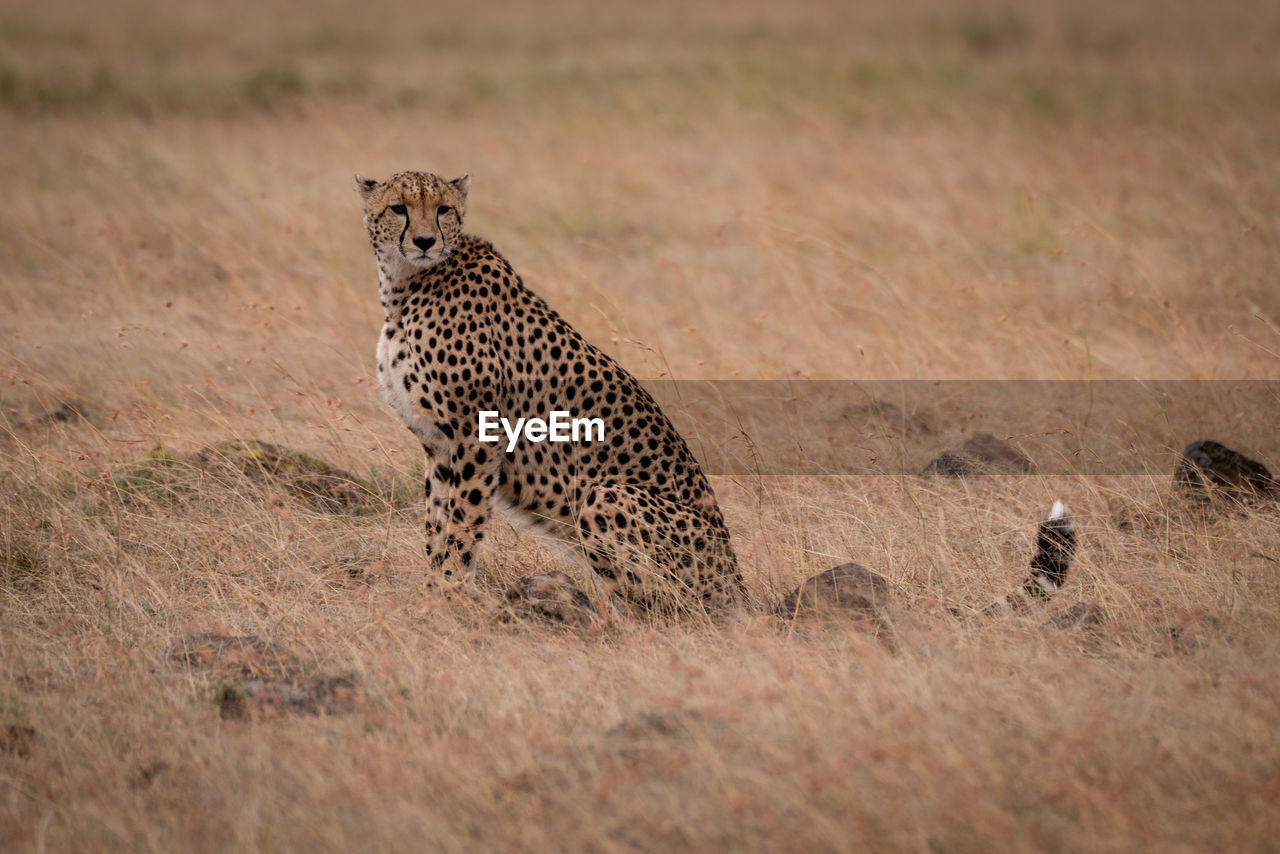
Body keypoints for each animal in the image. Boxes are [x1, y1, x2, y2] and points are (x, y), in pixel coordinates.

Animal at [355, 170, 747, 612]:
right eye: (398, 208)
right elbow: (436, 523)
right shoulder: (437, 444)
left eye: (443, 209)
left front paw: (451, 595)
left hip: (604, 495)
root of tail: (738, 584)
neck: (404, 288)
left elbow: (464, 522)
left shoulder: (476, 434)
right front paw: (433, 593)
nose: (424, 241)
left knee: (658, 610)